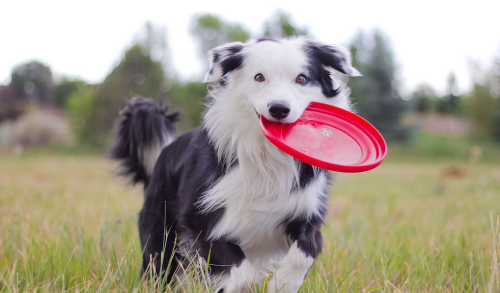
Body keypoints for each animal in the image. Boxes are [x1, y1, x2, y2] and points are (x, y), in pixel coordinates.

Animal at [110, 37, 360, 292]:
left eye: (301, 78)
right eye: (259, 77)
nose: (279, 109)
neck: (267, 155)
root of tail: (165, 150)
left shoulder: (306, 211)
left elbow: (306, 251)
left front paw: (282, 283)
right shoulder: (199, 220)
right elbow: (244, 273)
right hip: (161, 234)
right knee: (158, 267)